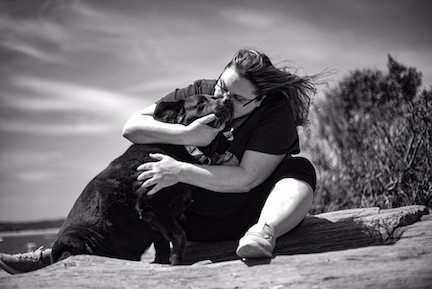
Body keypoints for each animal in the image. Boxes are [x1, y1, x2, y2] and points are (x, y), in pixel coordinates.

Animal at [51, 94, 233, 264]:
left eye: (216, 96)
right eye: (201, 103)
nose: (227, 100)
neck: (182, 148)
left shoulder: (159, 223)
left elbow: (163, 246)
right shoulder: (154, 207)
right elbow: (180, 235)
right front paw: (176, 262)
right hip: (76, 241)